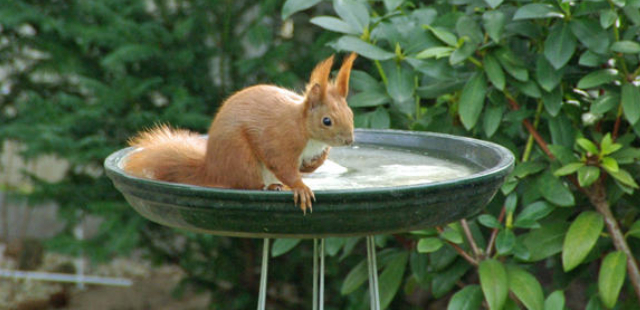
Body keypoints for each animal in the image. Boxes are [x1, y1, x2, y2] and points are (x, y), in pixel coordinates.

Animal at [122, 54, 358, 213]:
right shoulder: (280, 138)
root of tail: (213, 170)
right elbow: (281, 164)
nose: (349, 140)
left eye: (351, 113)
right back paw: (269, 187)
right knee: (248, 185)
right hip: (241, 158)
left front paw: (313, 164)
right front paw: (301, 187)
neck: (304, 129)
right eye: (327, 121)